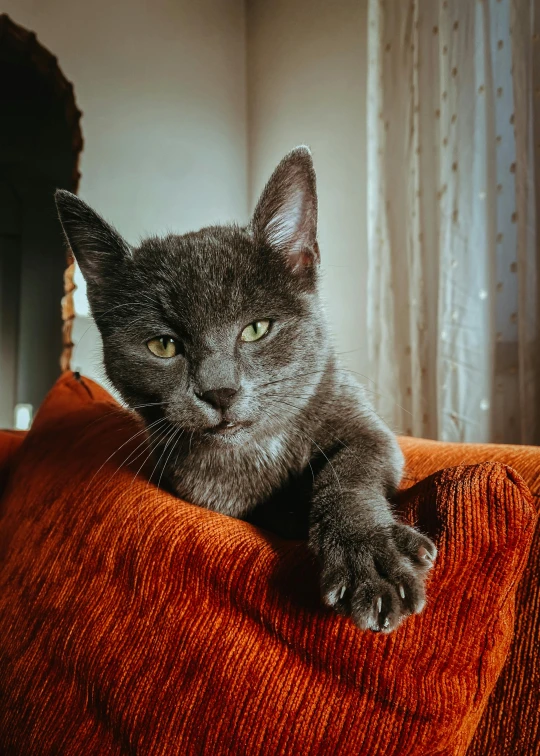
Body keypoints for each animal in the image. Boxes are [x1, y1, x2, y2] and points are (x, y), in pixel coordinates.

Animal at [54, 146, 436, 632]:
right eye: (164, 345)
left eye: (256, 329)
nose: (219, 392)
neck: (258, 451)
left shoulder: (366, 427)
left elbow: (348, 473)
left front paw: (370, 554)